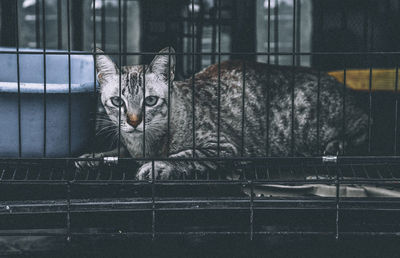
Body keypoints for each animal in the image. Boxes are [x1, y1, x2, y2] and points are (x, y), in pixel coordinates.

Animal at [75, 46, 368, 179]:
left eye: (150, 101)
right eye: (117, 101)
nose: (134, 121)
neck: (145, 143)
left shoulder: (222, 146)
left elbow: (185, 154)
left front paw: (157, 165)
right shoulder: (129, 145)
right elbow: (117, 152)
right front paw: (94, 157)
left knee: (364, 125)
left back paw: (337, 145)